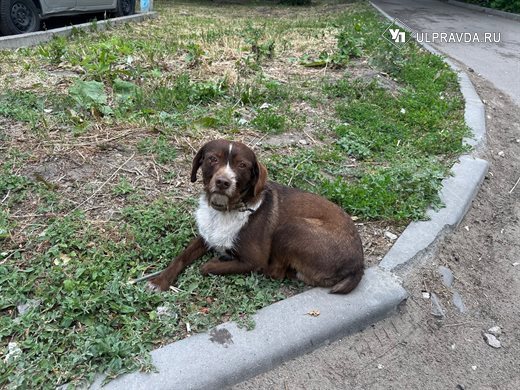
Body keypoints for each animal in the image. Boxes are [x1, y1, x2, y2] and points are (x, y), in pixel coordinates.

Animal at [148, 139, 364, 294]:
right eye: (212, 159)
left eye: (242, 165)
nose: (223, 182)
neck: (226, 210)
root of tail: (358, 266)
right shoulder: (206, 237)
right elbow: (181, 256)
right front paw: (160, 280)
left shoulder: (254, 260)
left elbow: (207, 267)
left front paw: (218, 260)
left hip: (290, 228)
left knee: (276, 272)